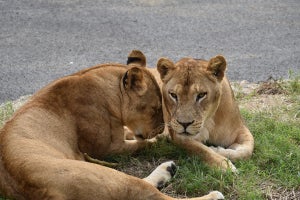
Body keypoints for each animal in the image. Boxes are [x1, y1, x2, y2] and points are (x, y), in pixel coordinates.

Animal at [0, 51, 223, 200]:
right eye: (155, 108)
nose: (161, 128)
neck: (110, 92)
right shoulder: (107, 148)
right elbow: (144, 143)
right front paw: (159, 138)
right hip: (104, 175)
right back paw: (212, 194)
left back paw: (167, 170)